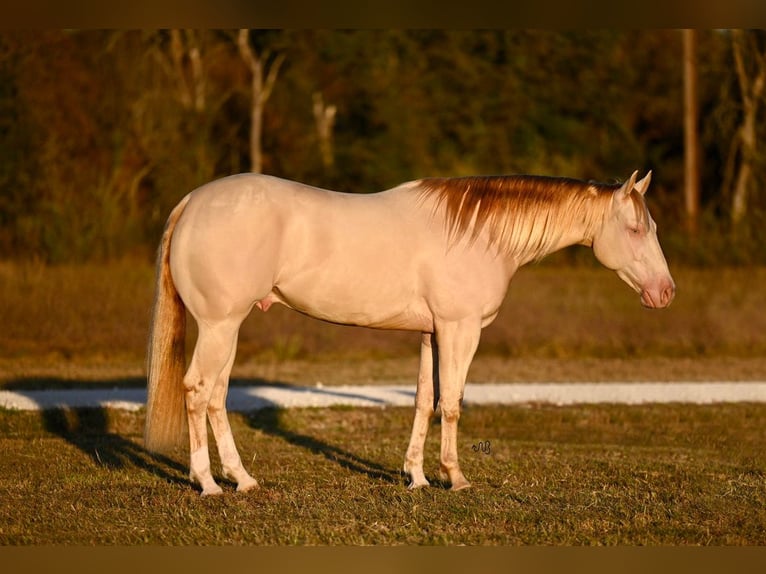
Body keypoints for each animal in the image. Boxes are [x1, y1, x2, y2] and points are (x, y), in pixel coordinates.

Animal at [146, 170, 680, 496]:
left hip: (229, 330)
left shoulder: (431, 334)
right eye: (636, 229)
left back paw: (242, 479)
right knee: (197, 391)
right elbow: (453, 402)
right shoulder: (460, 330)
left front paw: (417, 476)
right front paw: (455, 477)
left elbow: (424, 400)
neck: (478, 233)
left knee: (217, 397)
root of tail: (193, 202)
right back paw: (208, 483)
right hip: (220, 326)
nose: (665, 292)